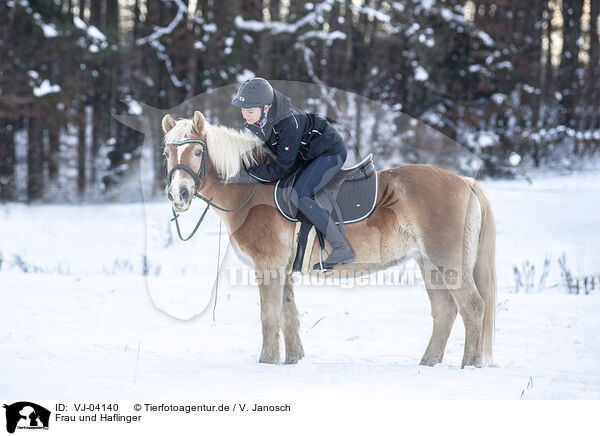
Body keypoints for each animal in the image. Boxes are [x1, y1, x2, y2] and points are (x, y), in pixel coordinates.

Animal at [161, 110, 496, 368]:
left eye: (198, 152)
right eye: (167, 153)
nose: (179, 195)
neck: (252, 192)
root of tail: (465, 182)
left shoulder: (268, 264)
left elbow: (270, 317)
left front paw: (266, 362)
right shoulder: (283, 268)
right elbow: (288, 315)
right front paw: (293, 360)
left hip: (447, 260)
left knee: (473, 307)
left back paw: (469, 365)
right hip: (428, 263)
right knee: (446, 311)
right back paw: (428, 364)